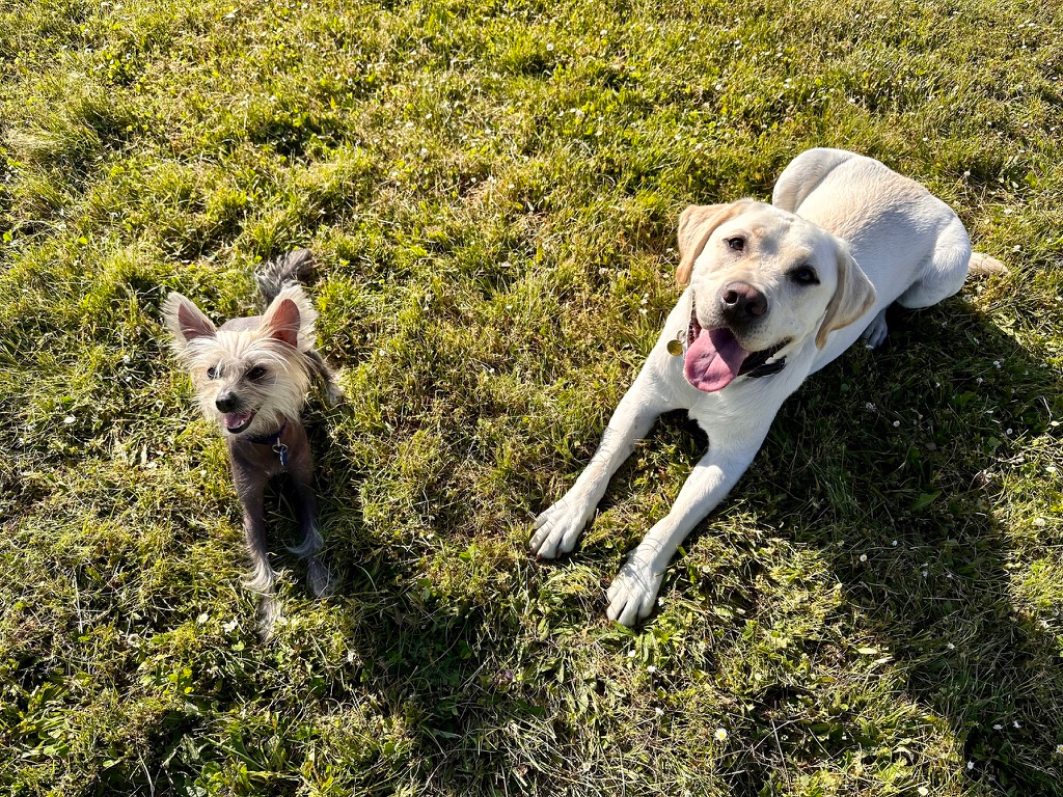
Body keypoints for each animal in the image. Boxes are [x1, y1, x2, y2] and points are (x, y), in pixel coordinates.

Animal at [161, 252, 340, 629]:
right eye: (212, 372)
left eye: (257, 372)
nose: (223, 401)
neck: (266, 443)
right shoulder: (250, 504)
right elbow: (262, 566)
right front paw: (271, 614)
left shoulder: (303, 484)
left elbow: (312, 538)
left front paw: (318, 580)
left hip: (303, 348)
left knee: (319, 363)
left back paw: (333, 391)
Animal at [531, 146, 1003, 629]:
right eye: (735, 242)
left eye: (806, 276)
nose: (743, 299)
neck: (719, 384)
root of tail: (917, 187)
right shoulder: (641, 399)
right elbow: (602, 461)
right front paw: (567, 514)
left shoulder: (729, 457)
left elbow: (675, 518)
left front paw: (639, 577)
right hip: (801, 166)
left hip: (942, 274)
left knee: (893, 300)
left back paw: (874, 322)